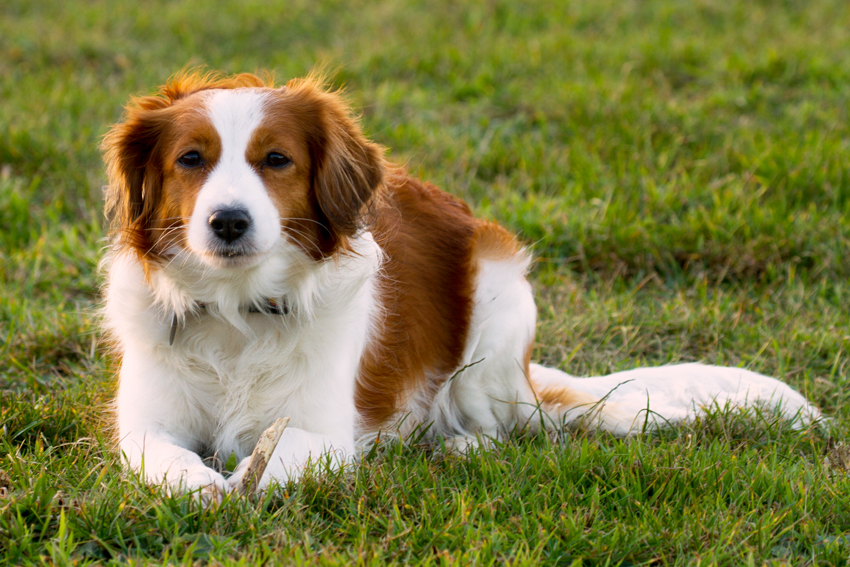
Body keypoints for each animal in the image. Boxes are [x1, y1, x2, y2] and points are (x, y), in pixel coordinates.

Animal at [101, 70, 820, 496]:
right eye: (191, 159)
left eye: (276, 159)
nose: (228, 221)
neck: (238, 311)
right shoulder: (146, 425)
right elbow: (169, 462)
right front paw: (207, 487)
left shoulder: (326, 432)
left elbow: (276, 458)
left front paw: (242, 480)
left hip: (499, 297)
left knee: (503, 427)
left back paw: (459, 445)